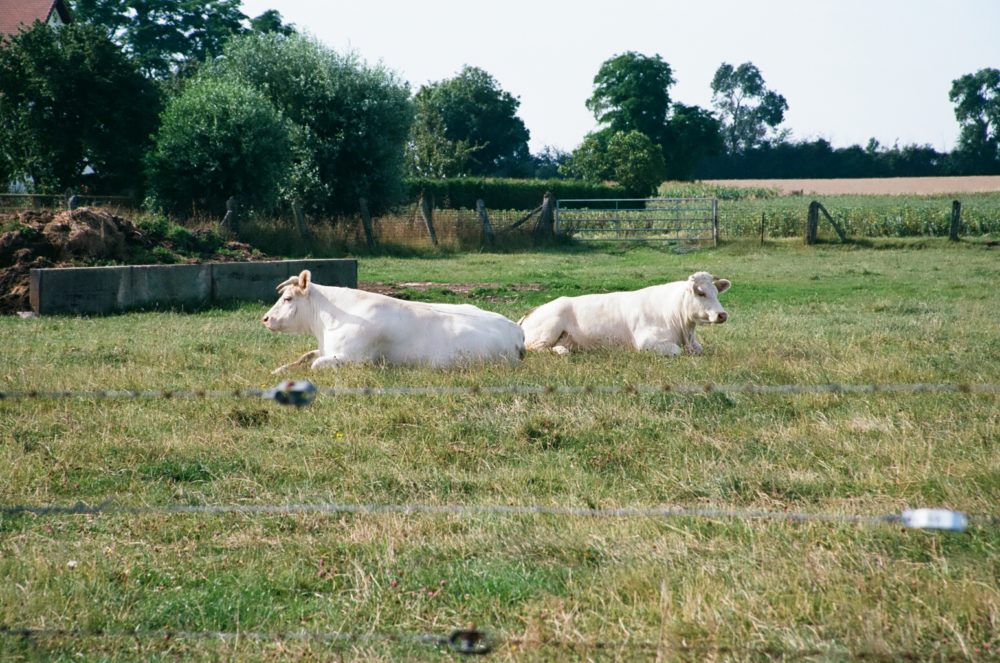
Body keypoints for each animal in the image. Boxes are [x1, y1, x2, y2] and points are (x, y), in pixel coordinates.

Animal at [262, 270, 528, 374]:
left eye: (287, 298)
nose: (265, 318)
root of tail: (515, 328)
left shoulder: (356, 358)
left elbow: (315, 365)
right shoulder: (325, 349)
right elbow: (305, 357)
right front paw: (278, 370)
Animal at [520, 272, 732, 358]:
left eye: (716, 292)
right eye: (701, 293)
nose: (722, 315)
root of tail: (531, 311)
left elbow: (699, 349)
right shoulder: (646, 342)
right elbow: (676, 351)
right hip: (548, 328)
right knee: (535, 348)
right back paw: (561, 351)